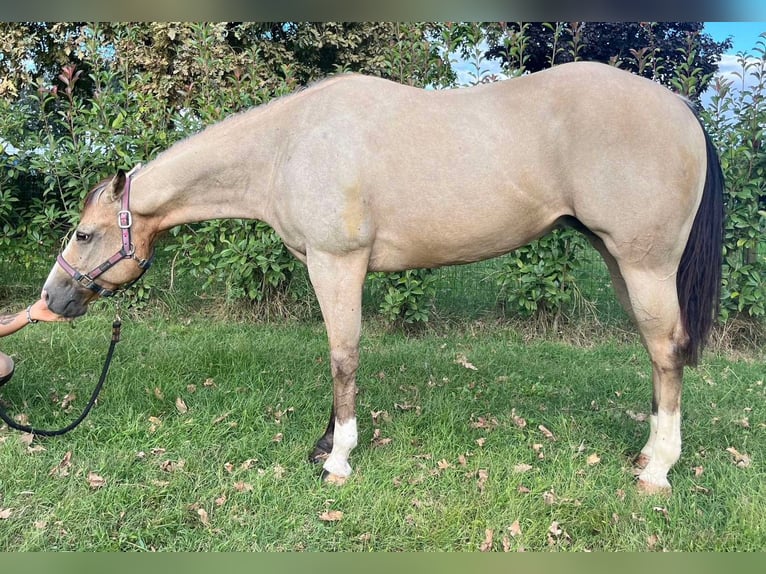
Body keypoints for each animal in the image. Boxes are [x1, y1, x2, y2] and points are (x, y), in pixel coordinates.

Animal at [42, 62, 728, 496]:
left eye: (83, 234)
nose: (52, 298)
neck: (287, 146)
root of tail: (680, 108)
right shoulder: (332, 267)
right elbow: (338, 354)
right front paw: (325, 444)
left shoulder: (336, 262)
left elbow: (342, 355)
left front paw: (339, 460)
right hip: (618, 261)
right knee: (656, 353)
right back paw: (647, 454)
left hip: (644, 264)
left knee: (667, 353)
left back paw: (657, 472)